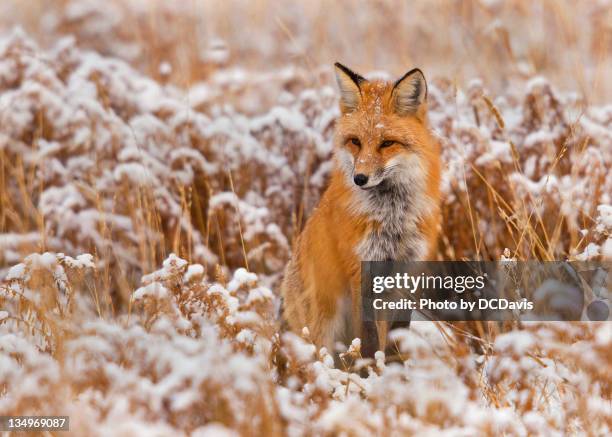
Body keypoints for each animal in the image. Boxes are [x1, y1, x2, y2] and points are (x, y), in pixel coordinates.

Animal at [282, 62, 440, 354]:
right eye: (355, 141)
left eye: (387, 143)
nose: (360, 178)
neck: (392, 218)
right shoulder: (361, 271)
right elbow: (367, 337)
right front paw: (370, 364)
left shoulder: (409, 271)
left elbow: (397, 334)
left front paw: (393, 364)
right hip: (323, 326)